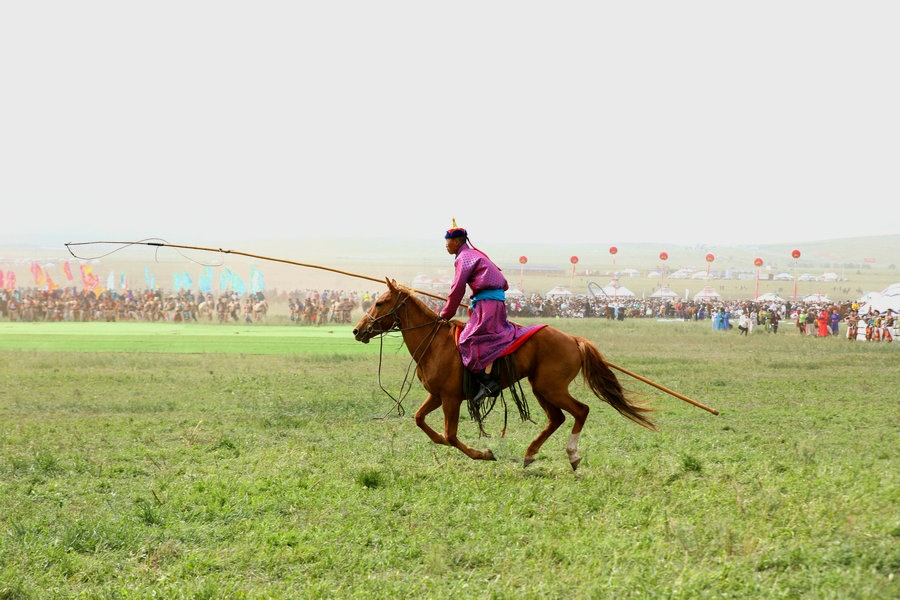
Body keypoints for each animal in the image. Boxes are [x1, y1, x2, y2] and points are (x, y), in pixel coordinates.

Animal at [353, 279, 656, 470]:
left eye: (380, 302)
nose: (357, 330)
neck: (435, 343)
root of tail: (573, 339)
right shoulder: (437, 396)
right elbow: (421, 421)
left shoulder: (451, 399)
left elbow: (451, 435)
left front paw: (484, 454)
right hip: (540, 387)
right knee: (556, 418)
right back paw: (530, 454)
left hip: (552, 387)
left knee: (581, 411)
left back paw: (572, 455)